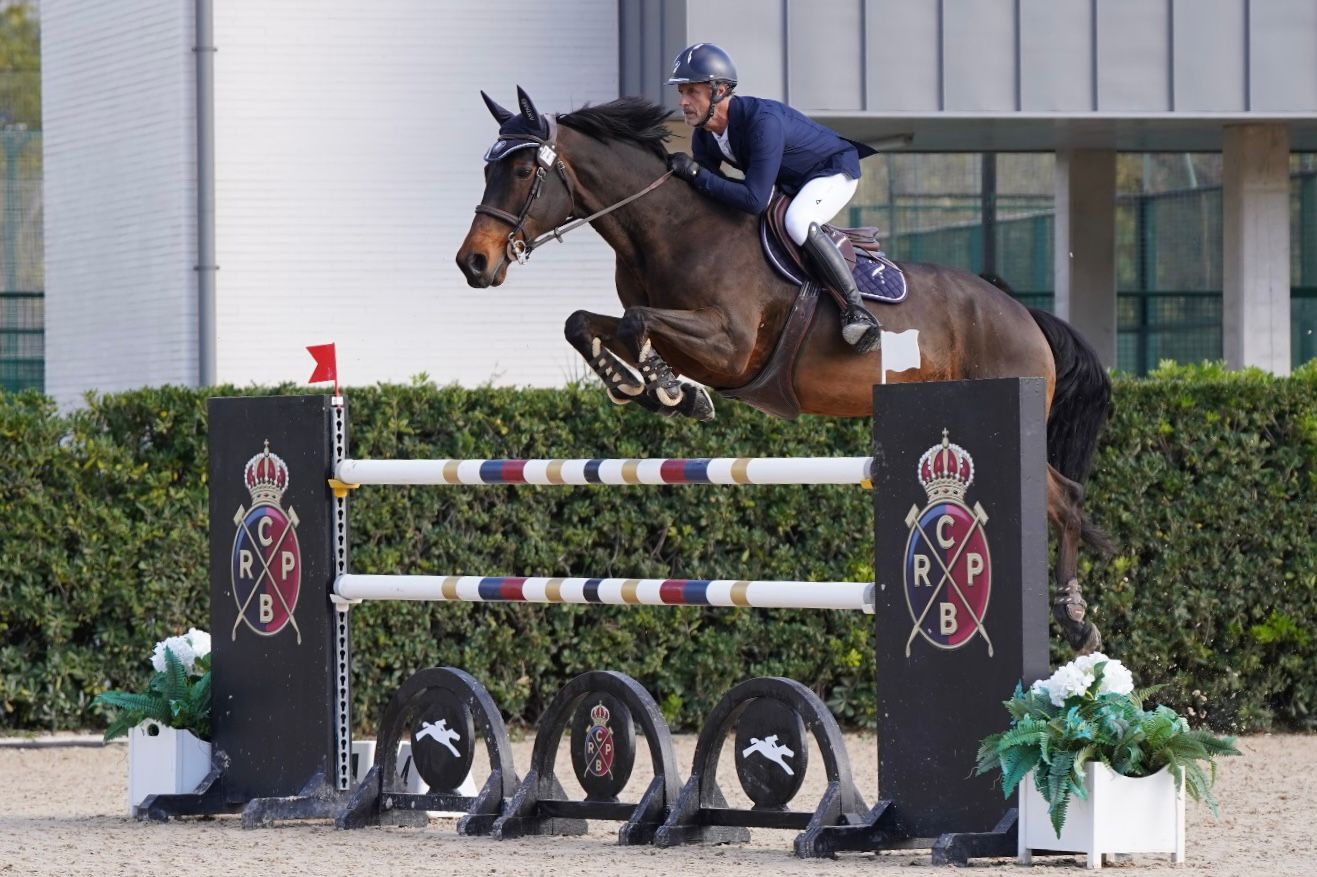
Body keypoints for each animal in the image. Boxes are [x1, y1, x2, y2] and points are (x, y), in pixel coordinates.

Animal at [453, 88, 1111, 653]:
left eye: (520, 172)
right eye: (487, 171)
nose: (473, 264)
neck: (664, 229)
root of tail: (1023, 312)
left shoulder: (729, 347)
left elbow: (639, 323)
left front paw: (669, 391)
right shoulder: (679, 335)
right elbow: (584, 322)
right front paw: (635, 385)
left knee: (1066, 499)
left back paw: (1076, 620)